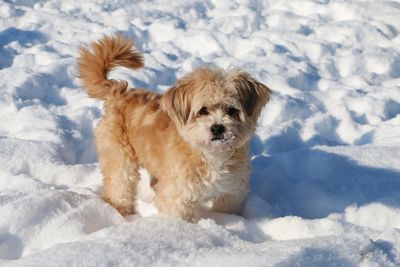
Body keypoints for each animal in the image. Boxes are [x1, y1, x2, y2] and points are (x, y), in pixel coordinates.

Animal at [77, 34, 272, 223]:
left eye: (231, 110)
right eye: (203, 110)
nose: (217, 128)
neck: (209, 155)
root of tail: (118, 93)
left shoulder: (230, 193)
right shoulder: (178, 195)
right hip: (118, 156)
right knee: (119, 184)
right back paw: (121, 211)